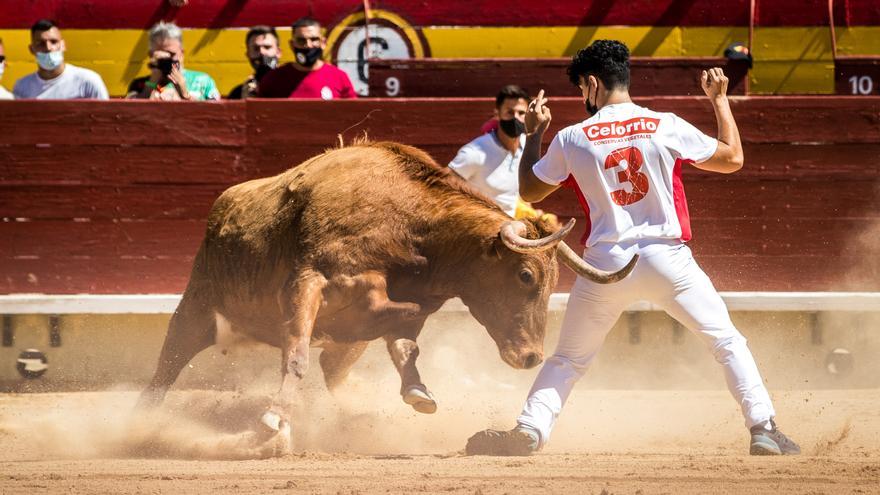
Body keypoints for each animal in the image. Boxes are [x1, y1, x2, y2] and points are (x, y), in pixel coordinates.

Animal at [136, 141, 632, 440]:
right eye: (526, 276)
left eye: (552, 283)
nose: (530, 357)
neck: (410, 228)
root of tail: (223, 203)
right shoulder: (306, 283)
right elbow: (297, 355)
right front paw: (275, 418)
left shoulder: (407, 303)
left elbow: (403, 337)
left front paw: (418, 393)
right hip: (195, 307)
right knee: (166, 365)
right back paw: (141, 421)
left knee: (336, 368)